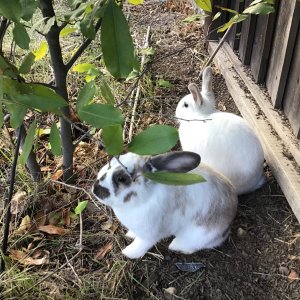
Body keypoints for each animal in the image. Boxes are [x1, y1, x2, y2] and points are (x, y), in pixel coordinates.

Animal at [92, 151, 238, 258]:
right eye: (112, 160)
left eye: (122, 179)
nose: (95, 189)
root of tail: (227, 227)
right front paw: (130, 234)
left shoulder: (149, 235)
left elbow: (141, 244)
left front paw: (128, 253)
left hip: (198, 234)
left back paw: (176, 246)